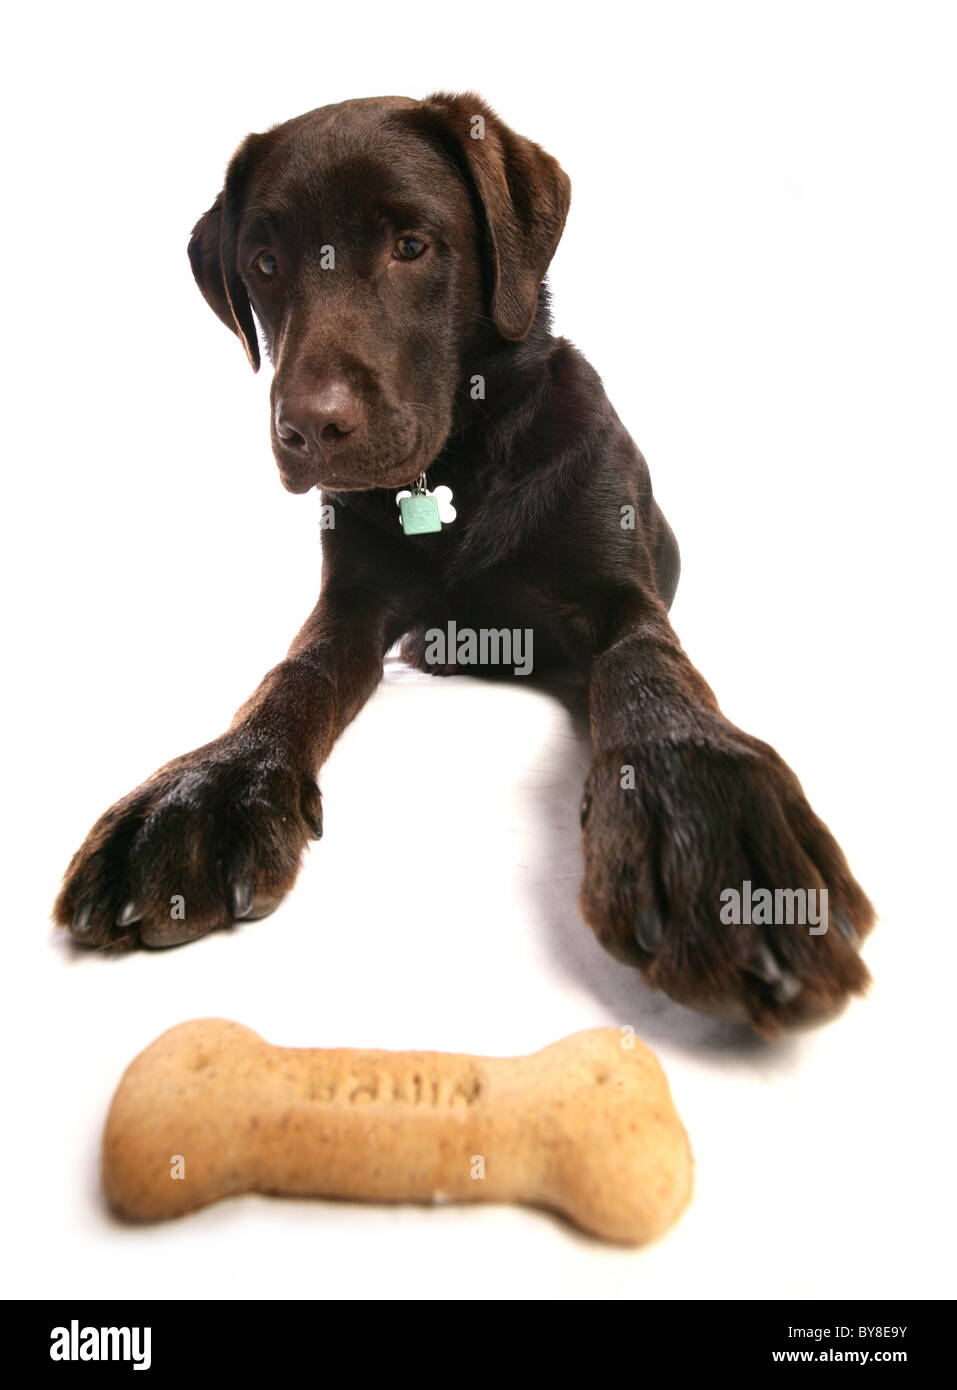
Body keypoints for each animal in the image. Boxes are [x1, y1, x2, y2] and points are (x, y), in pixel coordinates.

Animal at [52, 92, 873, 1034]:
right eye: (261, 263)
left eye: (411, 245)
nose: (308, 431)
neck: (463, 463)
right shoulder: (352, 604)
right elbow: (295, 673)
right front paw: (208, 785)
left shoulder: (620, 595)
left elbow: (650, 669)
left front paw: (704, 806)